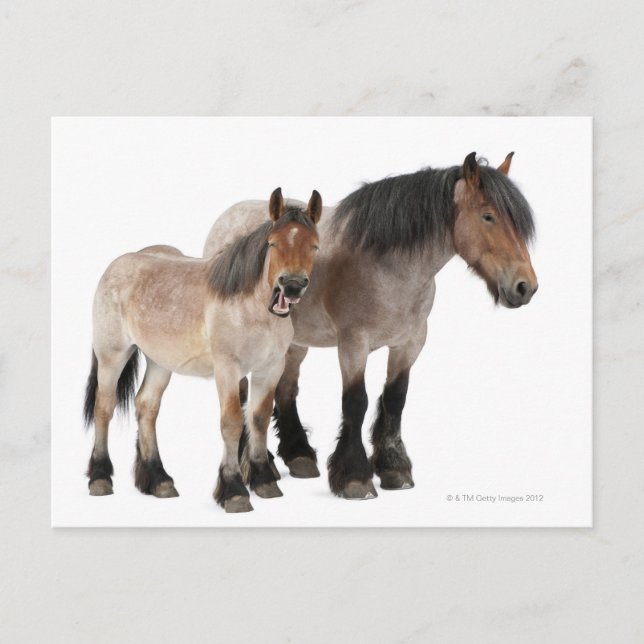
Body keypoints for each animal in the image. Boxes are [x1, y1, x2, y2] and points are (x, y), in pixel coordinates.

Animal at [83, 188, 323, 512]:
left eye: (314, 246)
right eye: (272, 243)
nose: (292, 285)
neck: (250, 306)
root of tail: (116, 265)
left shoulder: (270, 368)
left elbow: (258, 419)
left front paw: (263, 481)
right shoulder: (228, 368)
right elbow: (232, 422)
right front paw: (234, 491)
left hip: (160, 362)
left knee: (146, 406)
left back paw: (160, 481)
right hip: (112, 355)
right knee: (104, 407)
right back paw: (100, 478)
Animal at [203, 153, 538, 500]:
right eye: (488, 216)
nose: (525, 286)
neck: (387, 267)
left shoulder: (410, 344)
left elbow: (395, 399)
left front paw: (394, 468)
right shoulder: (353, 344)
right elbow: (356, 402)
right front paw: (355, 476)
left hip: (294, 343)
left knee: (285, 390)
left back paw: (297, 455)